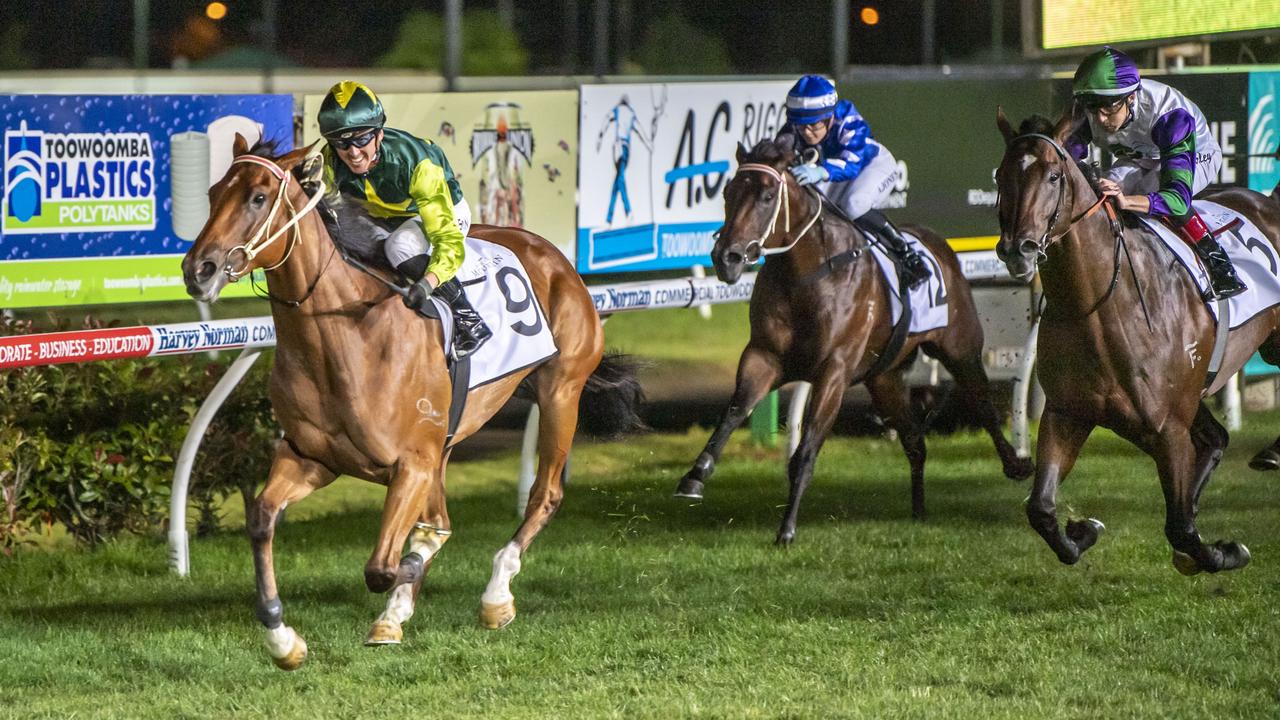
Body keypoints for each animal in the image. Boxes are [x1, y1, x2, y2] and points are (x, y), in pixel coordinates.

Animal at [180, 135, 640, 666]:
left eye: (257, 197)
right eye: (213, 194)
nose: (198, 270)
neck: (346, 333)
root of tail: (552, 254)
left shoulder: (412, 464)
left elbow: (384, 566)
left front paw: (403, 594)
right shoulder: (313, 458)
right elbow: (260, 520)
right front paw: (283, 638)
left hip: (561, 391)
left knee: (544, 495)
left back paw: (495, 594)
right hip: (448, 438)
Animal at [675, 134, 1034, 540]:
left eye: (767, 196)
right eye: (729, 192)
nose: (727, 257)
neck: (805, 273)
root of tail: (937, 243)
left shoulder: (834, 371)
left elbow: (806, 449)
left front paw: (787, 530)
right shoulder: (763, 357)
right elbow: (734, 410)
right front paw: (695, 476)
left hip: (960, 348)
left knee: (983, 403)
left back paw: (1016, 464)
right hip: (884, 378)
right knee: (915, 441)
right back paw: (919, 510)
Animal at [993, 109, 1280, 573]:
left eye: (1053, 175)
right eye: (1001, 176)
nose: (1018, 249)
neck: (1099, 305)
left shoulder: (1169, 429)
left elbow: (1180, 528)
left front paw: (1226, 552)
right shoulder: (1067, 413)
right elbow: (1040, 509)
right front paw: (1083, 531)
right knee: (1217, 438)